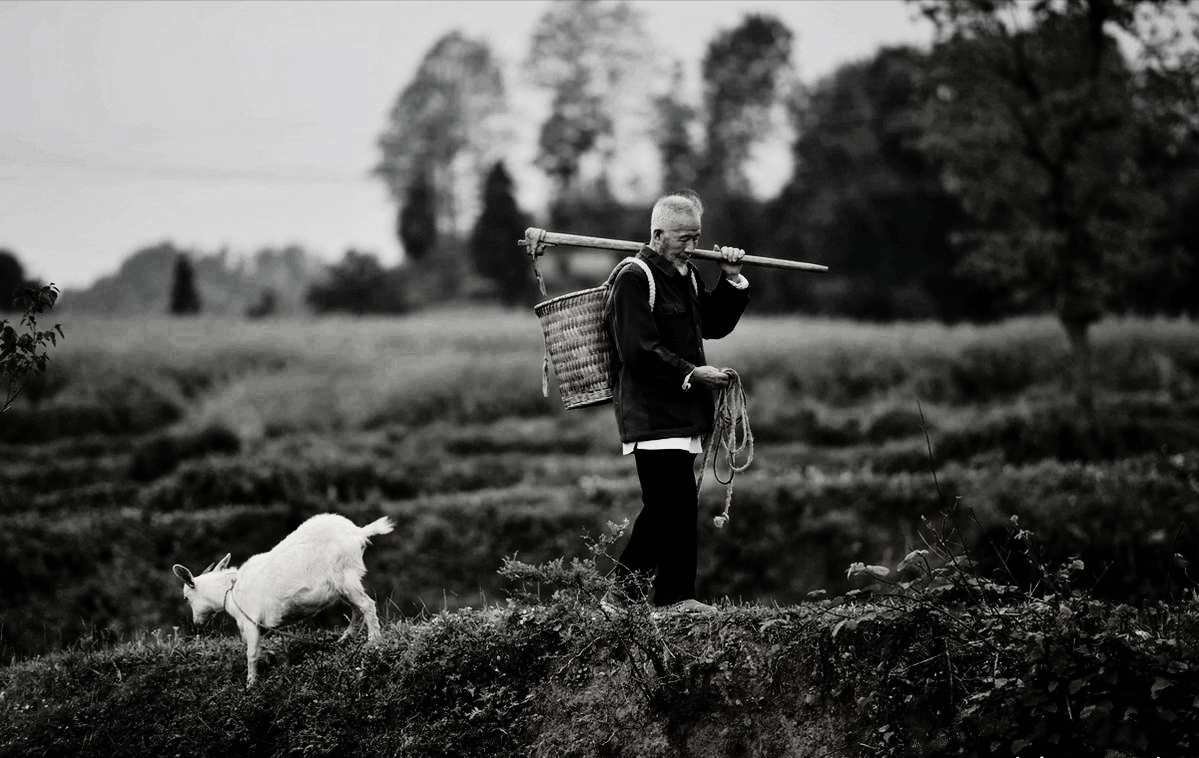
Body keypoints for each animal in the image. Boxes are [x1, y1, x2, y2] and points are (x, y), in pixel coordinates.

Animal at [172, 515, 393, 686]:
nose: (197, 623)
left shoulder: (250, 622)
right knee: (357, 609)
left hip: (345, 577)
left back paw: (374, 641)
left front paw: (251, 684)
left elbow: (250, 653)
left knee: (367, 605)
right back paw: (345, 639)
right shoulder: (254, 626)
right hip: (344, 585)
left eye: (186, 597)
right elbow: (254, 647)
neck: (230, 589)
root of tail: (358, 532)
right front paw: (269, 656)